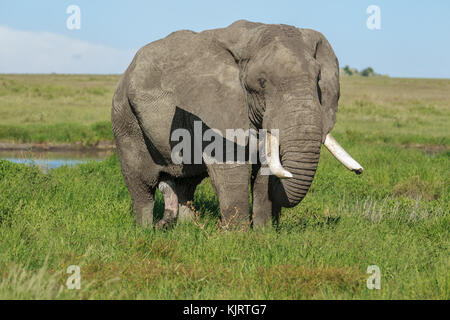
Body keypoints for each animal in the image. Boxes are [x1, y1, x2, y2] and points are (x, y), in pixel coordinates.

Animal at [111, 20, 362, 229]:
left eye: (318, 80)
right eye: (261, 83)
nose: (360, 171)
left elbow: (264, 168)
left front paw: (263, 234)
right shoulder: (214, 107)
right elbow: (230, 166)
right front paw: (237, 237)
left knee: (185, 184)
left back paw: (186, 228)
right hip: (125, 119)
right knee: (142, 184)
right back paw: (146, 230)